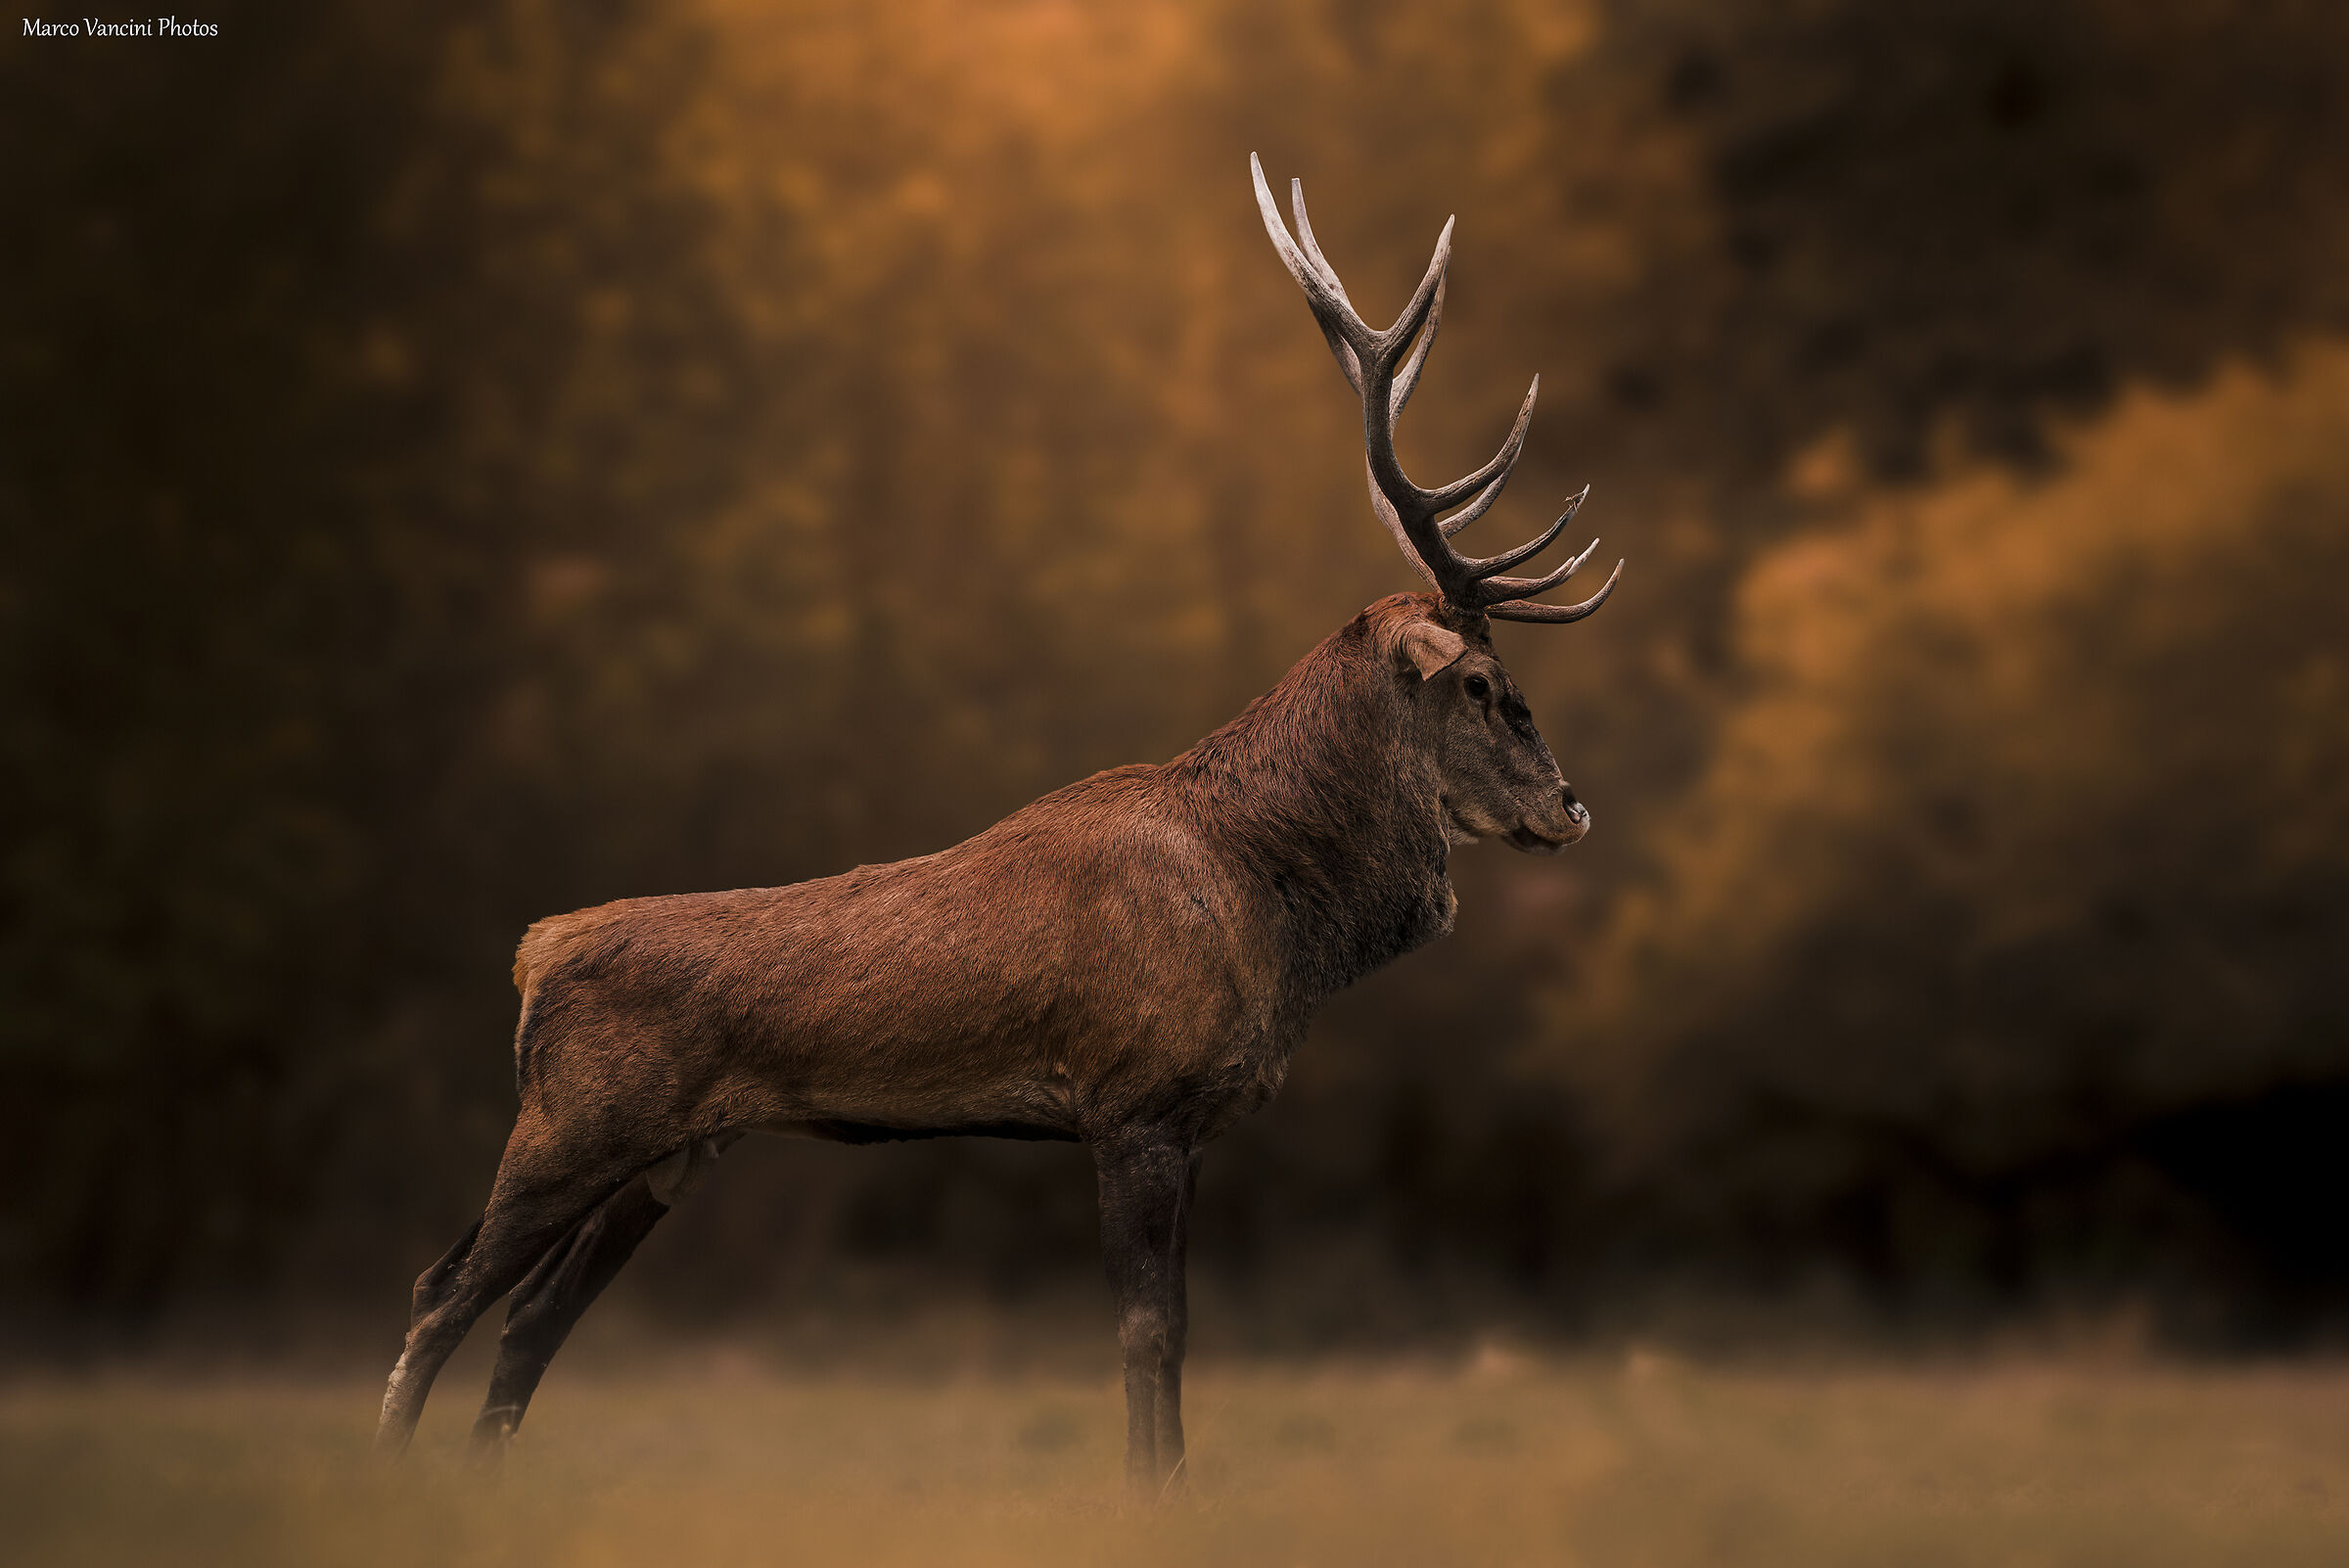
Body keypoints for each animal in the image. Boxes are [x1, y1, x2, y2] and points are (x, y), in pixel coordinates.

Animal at [374, 154, 1621, 1495]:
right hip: (571, 1122)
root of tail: (534, 954)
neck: (1277, 919)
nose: (1569, 806)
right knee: (440, 1290)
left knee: (528, 1322)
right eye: (1482, 685)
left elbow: (1178, 1335)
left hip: (665, 1157)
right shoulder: (1133, 1097)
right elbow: (1149, 1335)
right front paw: (1148, 1500)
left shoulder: (1185, 1121)